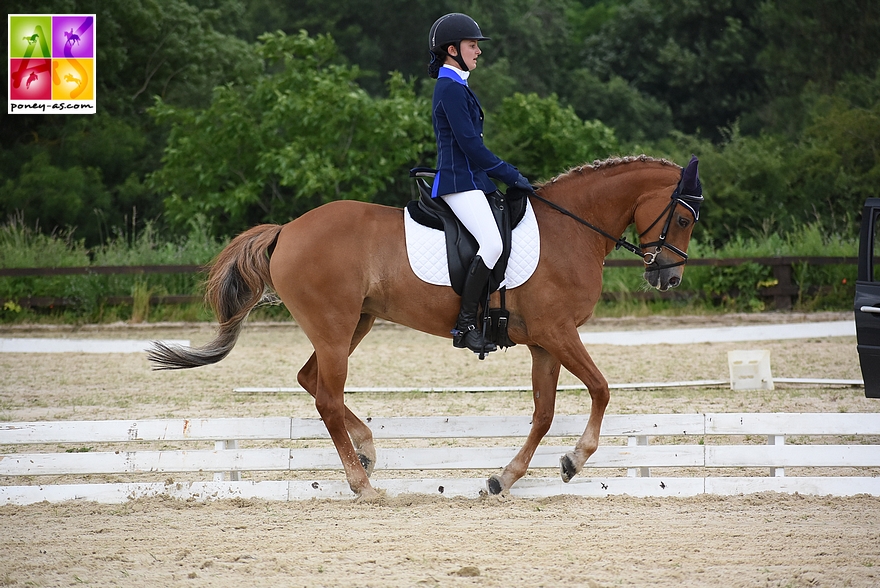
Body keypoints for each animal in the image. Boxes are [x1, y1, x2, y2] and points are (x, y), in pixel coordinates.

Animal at [150, 154, 700, 498]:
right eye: (684, 219)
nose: (668, 277)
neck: (572, 228)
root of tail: (287, 230)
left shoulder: (544, 342)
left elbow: (544, 414)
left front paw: (504, 479)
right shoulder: (559, 333)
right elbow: (602, 389)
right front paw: (575, 460)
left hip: (356, 323)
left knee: (312, 382)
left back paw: (367, 452)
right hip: (334, 327)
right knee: (326, 397)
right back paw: (363, 484)